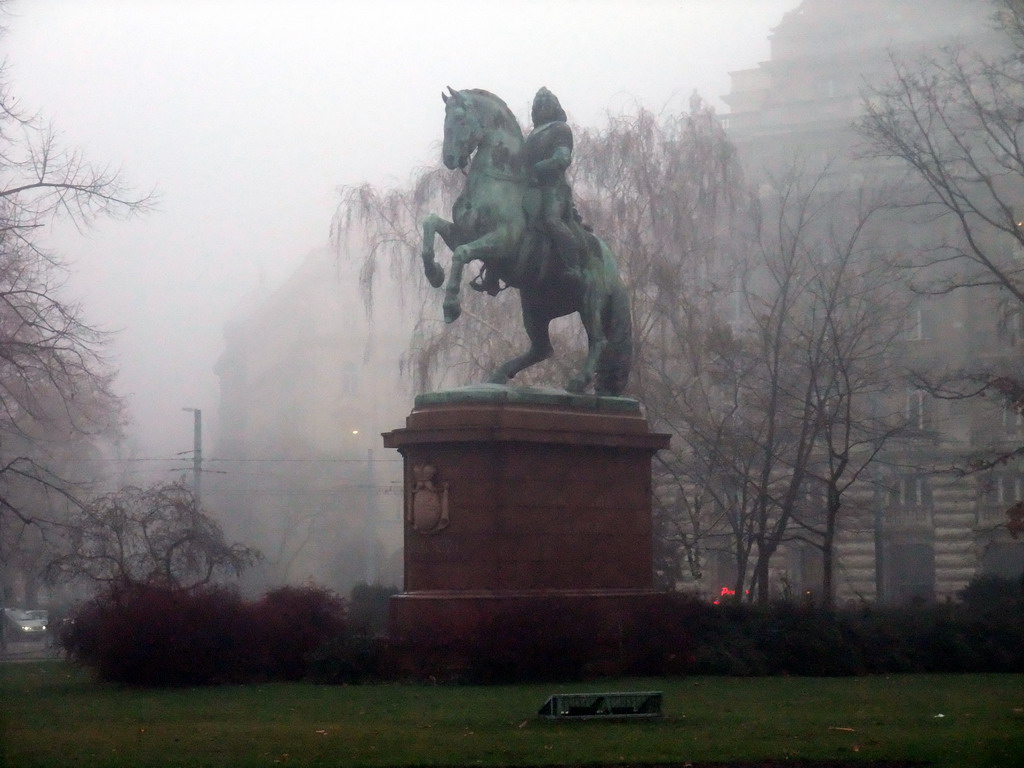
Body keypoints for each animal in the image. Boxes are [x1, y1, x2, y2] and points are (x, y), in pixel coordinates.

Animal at [417, 90, 630, 397]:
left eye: (460, 118)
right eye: (445, 120)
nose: (450, 158)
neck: (497, 181)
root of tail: (613, 265)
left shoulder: (502, 243)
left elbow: (460, 254)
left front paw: (451, 305)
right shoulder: (462, 232)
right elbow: (430, 224)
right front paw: (434, 273)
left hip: (590, 300)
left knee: (598, 340)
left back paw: (578, 382)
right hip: (535, 307)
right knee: (542, 349)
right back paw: (498, 375)